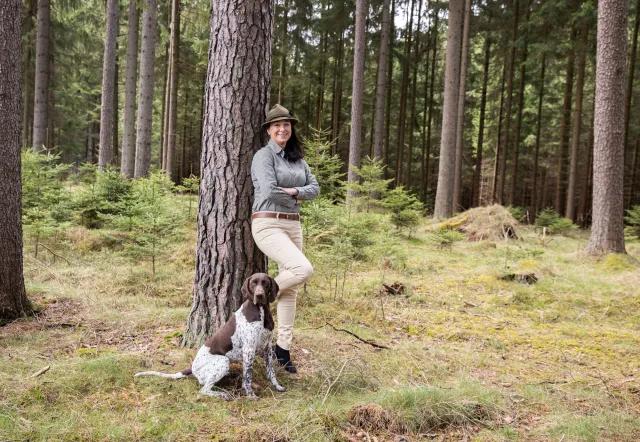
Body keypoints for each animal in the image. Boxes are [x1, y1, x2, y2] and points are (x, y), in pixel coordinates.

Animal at [135, 272, 284, 400]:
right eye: (253, 283)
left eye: (265, 283)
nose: (259, 295)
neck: (260, 311)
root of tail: (192, 368)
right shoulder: (249, 350)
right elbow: (247, 377)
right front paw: (250, 395)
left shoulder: (268, 348)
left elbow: (271, 372)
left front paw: (277, 386)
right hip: (223, 361)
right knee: (204, 389)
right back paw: (222, 394)